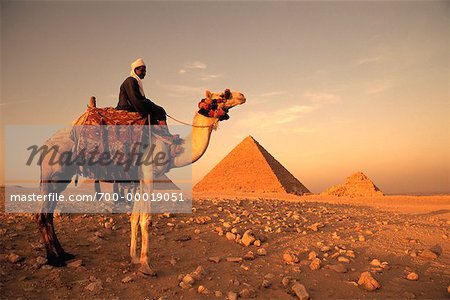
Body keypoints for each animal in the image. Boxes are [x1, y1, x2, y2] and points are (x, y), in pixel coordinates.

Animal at [36, 88, 246, 274]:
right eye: (221, 97)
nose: (242, 96)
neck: (173, 149)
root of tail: (45, 144)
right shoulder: (149, 176)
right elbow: (146, 219)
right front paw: (146, 265)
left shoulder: (138, 181)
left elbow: (134, 218)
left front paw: (134, 258)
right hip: (53, 175)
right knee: (43, 215)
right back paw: (54, 259)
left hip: (61, 178)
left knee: (49, 215)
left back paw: (63, 254)